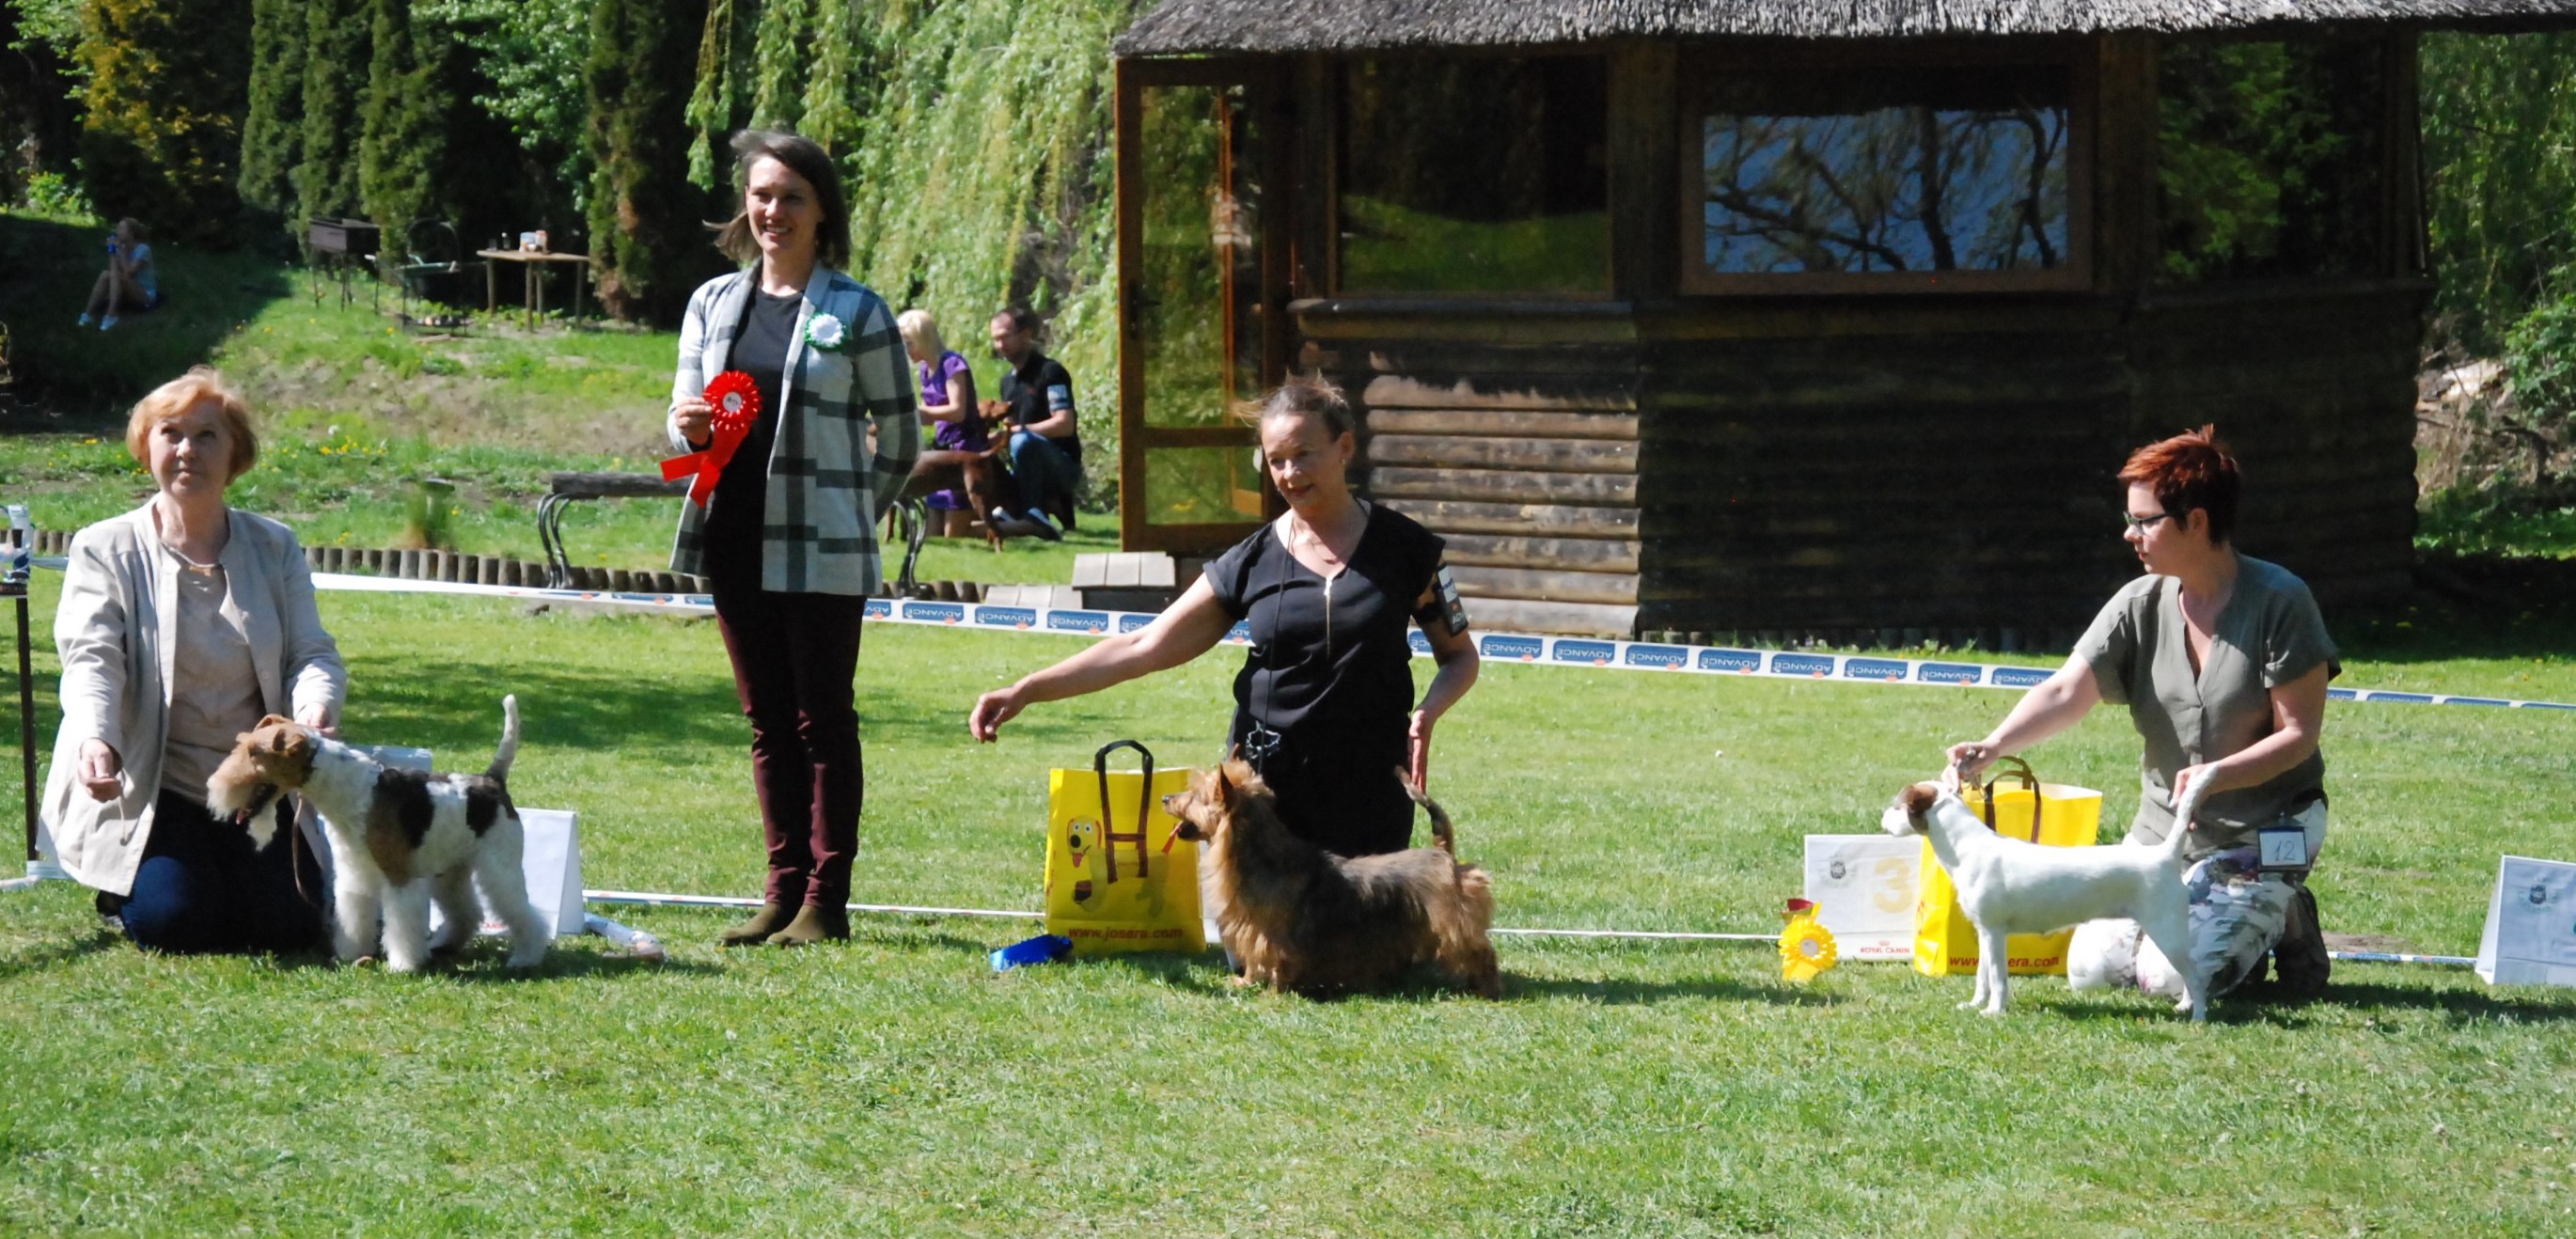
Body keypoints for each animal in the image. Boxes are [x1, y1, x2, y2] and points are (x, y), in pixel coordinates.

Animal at [206, 696, 549, 972]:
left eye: (254, 752)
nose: (214, 786)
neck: (348, 789)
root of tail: (492, 780)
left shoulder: (399, 877)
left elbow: (400, 924)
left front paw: (403, 965)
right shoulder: (353, 872)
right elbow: (354, 916)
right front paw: (350, 954)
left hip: (499, 867)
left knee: (522, 911)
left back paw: (526, 957)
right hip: (451, 870)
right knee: (466, 913)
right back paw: (442, 945)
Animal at [1164, 757, 1500, 998]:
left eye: (1195, 796)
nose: (1166, 797)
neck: (1262, 857)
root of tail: (1444, 855)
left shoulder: (1274, 937)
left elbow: (1277, 961)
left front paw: (1274, 993)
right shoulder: (1251, 931)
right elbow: (1255, 960)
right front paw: (1245, 982)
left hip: (1454, 926)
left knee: (1481, 953)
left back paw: (1487, 989)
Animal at [1882, 772, 2209, 1021]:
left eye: (1897, 806)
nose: (1883, 817)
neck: (1968, 847)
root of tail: (2163, 855)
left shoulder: (1995, 932)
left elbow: (1997, 977)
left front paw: (1994, 1012)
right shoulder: (1985, 932)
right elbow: (1982, 976)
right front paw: (1975, 1004)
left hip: (2167, 931)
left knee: (2196, 975)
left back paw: (2199, 1017)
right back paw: (2185, 1006)